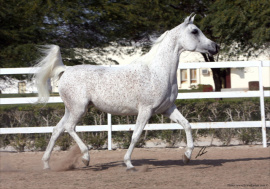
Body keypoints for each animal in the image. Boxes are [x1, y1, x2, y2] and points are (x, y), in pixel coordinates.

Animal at [34, 14, 219, 171]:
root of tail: (65, 70)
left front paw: (186, 156)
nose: (216, 47)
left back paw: (46, 164)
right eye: (194, 31)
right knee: (69, 127)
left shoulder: (167, 108)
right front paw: (129, 163)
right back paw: (86, 158)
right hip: (79, 109)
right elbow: (136, 136)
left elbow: (187, 124)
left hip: (70, 109)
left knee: (57, 130)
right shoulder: (146, 110)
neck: (157, 72)